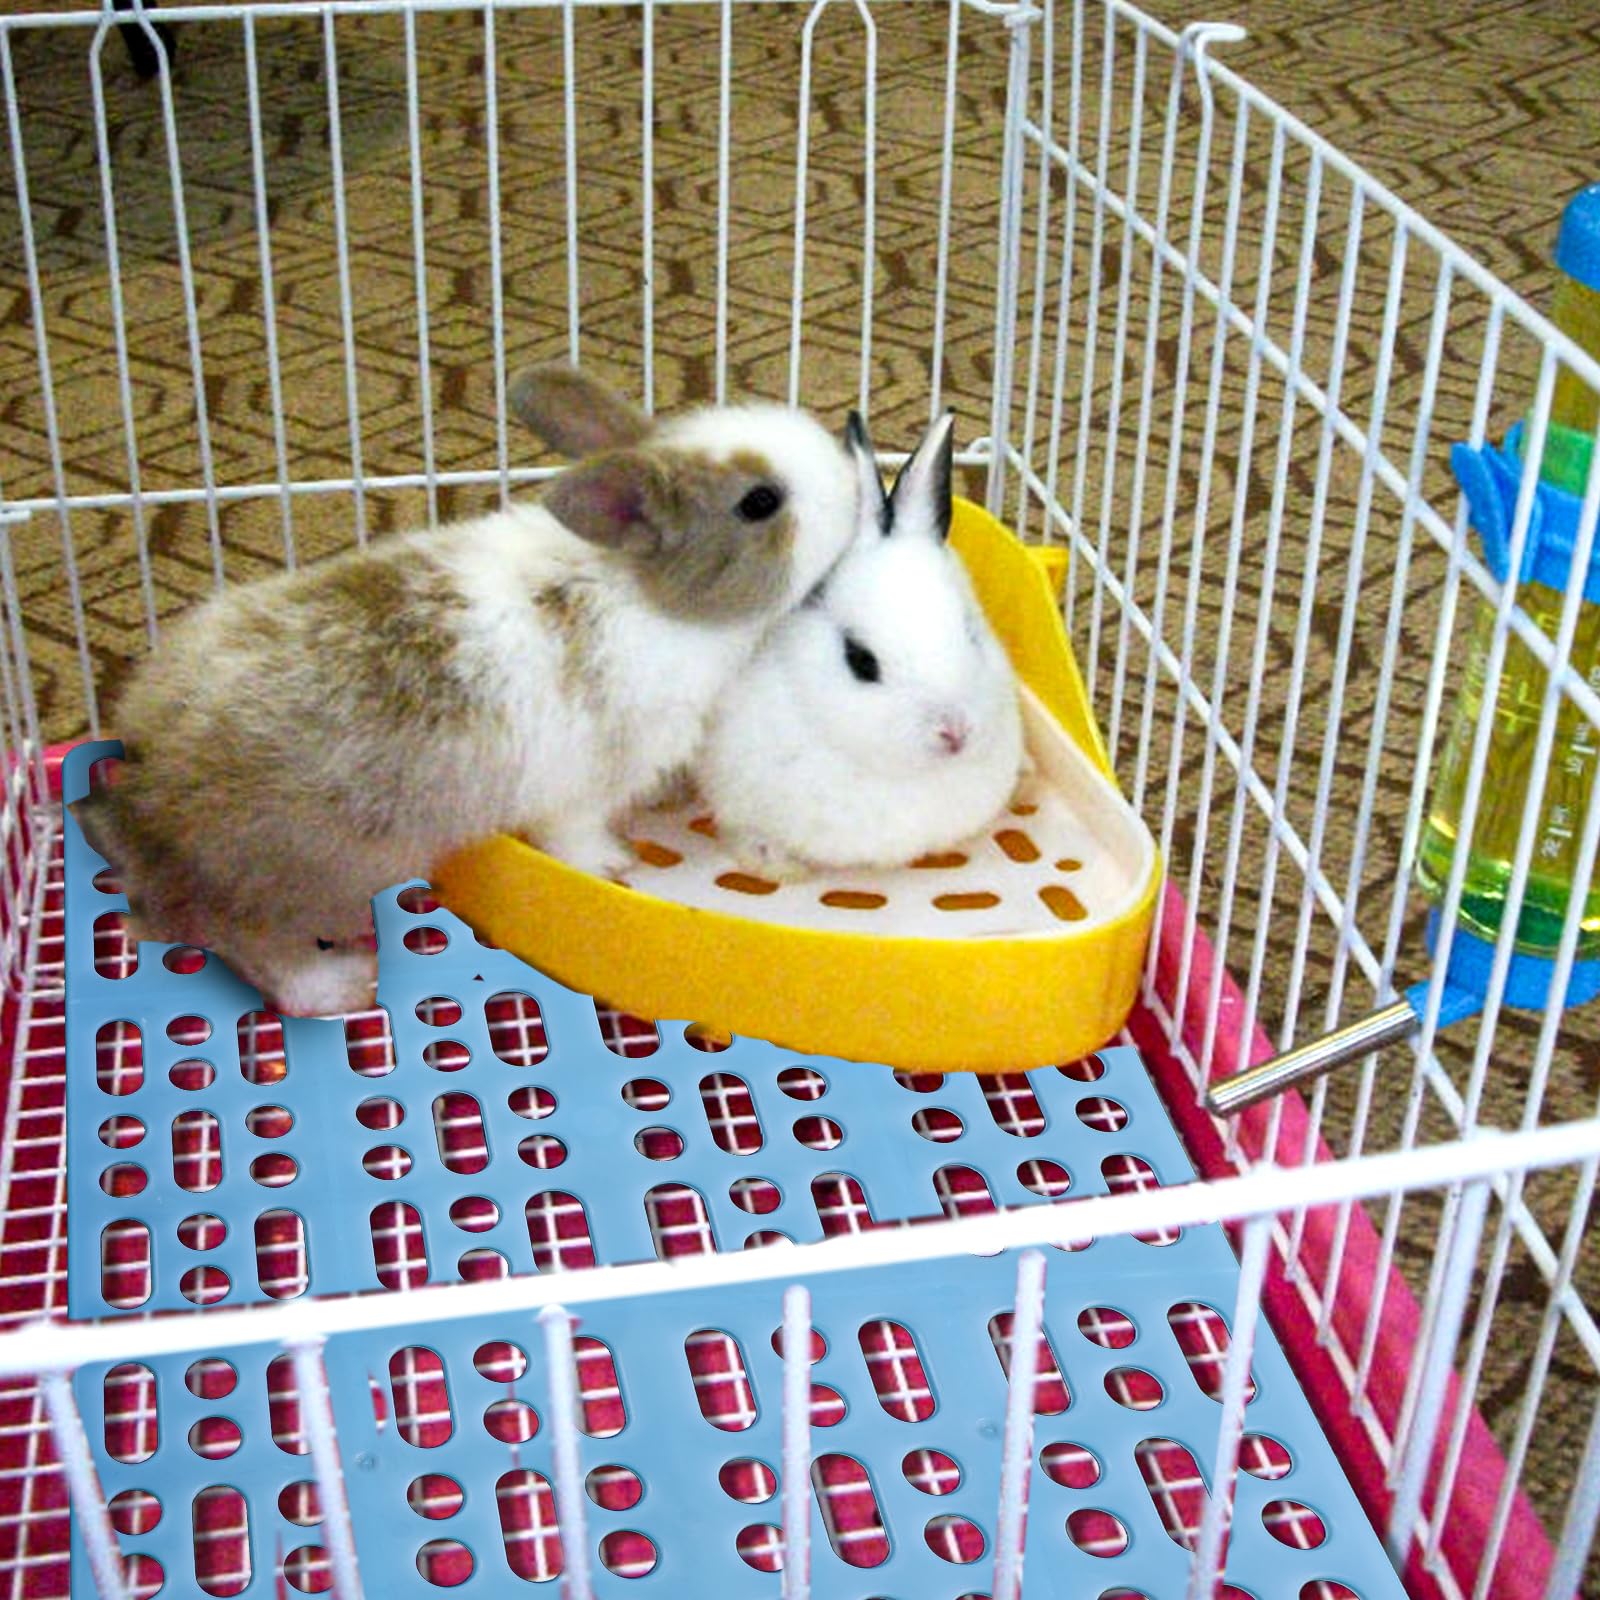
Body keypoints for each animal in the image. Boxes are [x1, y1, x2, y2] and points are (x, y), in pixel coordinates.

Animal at [72, 365, 861, 1017]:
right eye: (760, 502)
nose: (852, 478)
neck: (641, 590)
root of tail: (148, 786)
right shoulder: (581, 785)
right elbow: (577, 836)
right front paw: (614, 865)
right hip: (287, 878)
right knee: (248, 943)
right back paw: (336, 986)